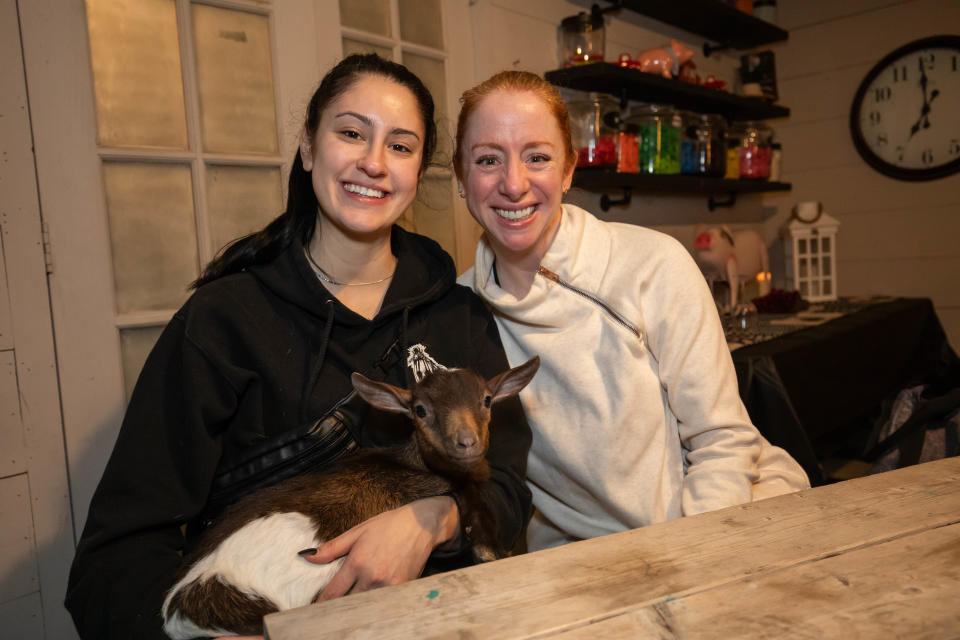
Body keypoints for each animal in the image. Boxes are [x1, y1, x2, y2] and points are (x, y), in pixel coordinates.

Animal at [165, 358, 540, 636]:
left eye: (487, 400)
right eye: (420, 410)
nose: (466, 443)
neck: (410, 463)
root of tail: (177, 611)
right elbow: (469, 498)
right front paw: (488, 549)